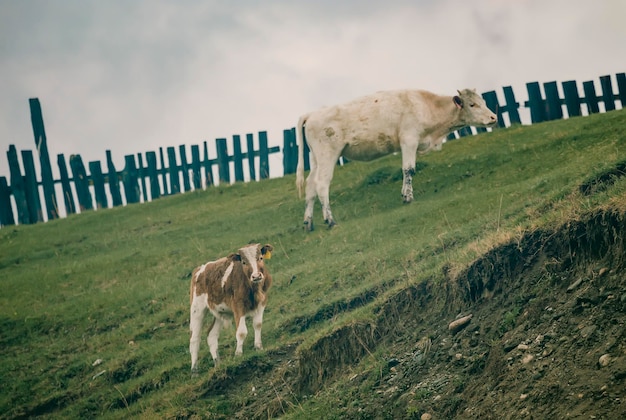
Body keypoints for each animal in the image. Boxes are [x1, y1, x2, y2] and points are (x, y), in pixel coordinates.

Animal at [294, 88, 494, 230]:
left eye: (483, 101)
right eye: (472, 104)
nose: (493, 117)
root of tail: (312, 114)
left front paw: (405, 194)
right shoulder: (409, 139)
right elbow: (409, 169)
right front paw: (408, 197)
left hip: (315, 158)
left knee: (310, 185)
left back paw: (308, 223)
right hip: (327, 154)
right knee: (321, 184)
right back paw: (330, 220)